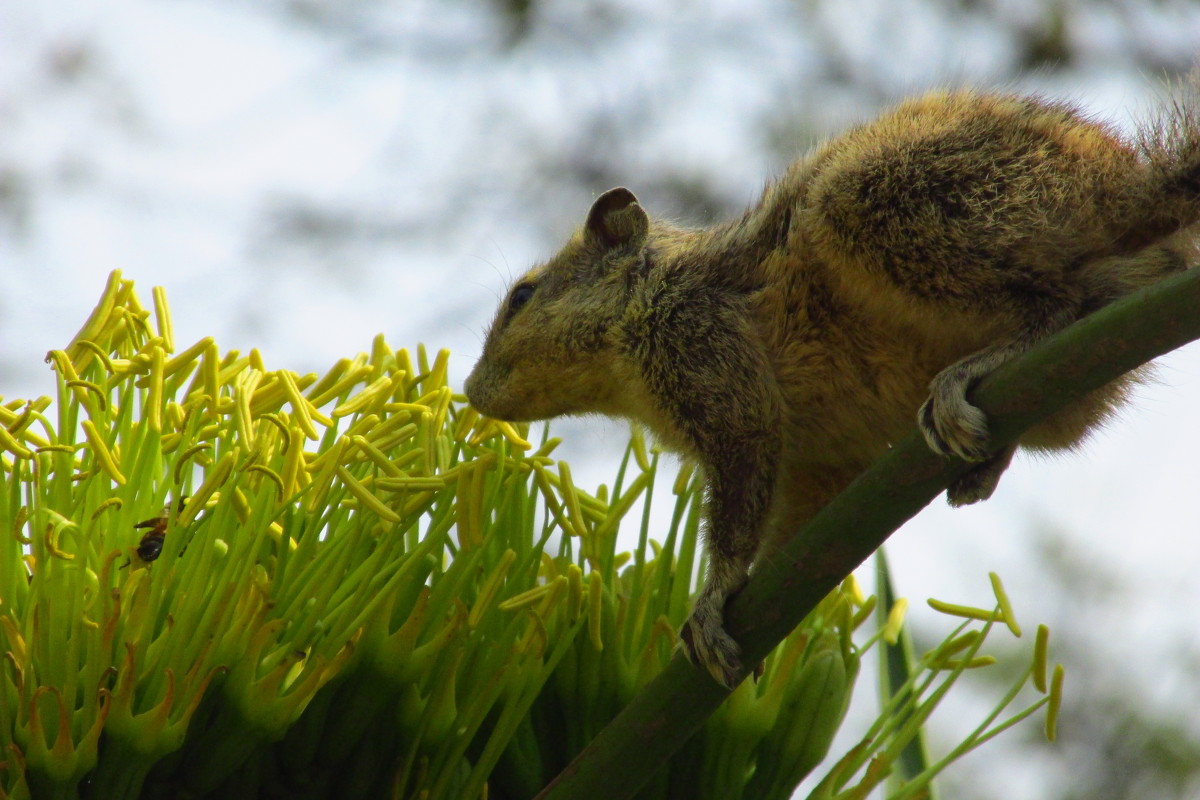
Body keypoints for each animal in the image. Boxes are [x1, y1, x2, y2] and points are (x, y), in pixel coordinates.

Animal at [463, 86, 1200, 690]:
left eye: (522, 297)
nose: (473, 392)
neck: (647, 302)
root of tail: (1126, 195)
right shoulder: (819, 461)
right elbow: (795, 526)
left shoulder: (707, 355)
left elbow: (740, 489)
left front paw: (712, 598)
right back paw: (983, 463)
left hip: (896, 207)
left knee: (1052, 305)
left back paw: (969, 376)